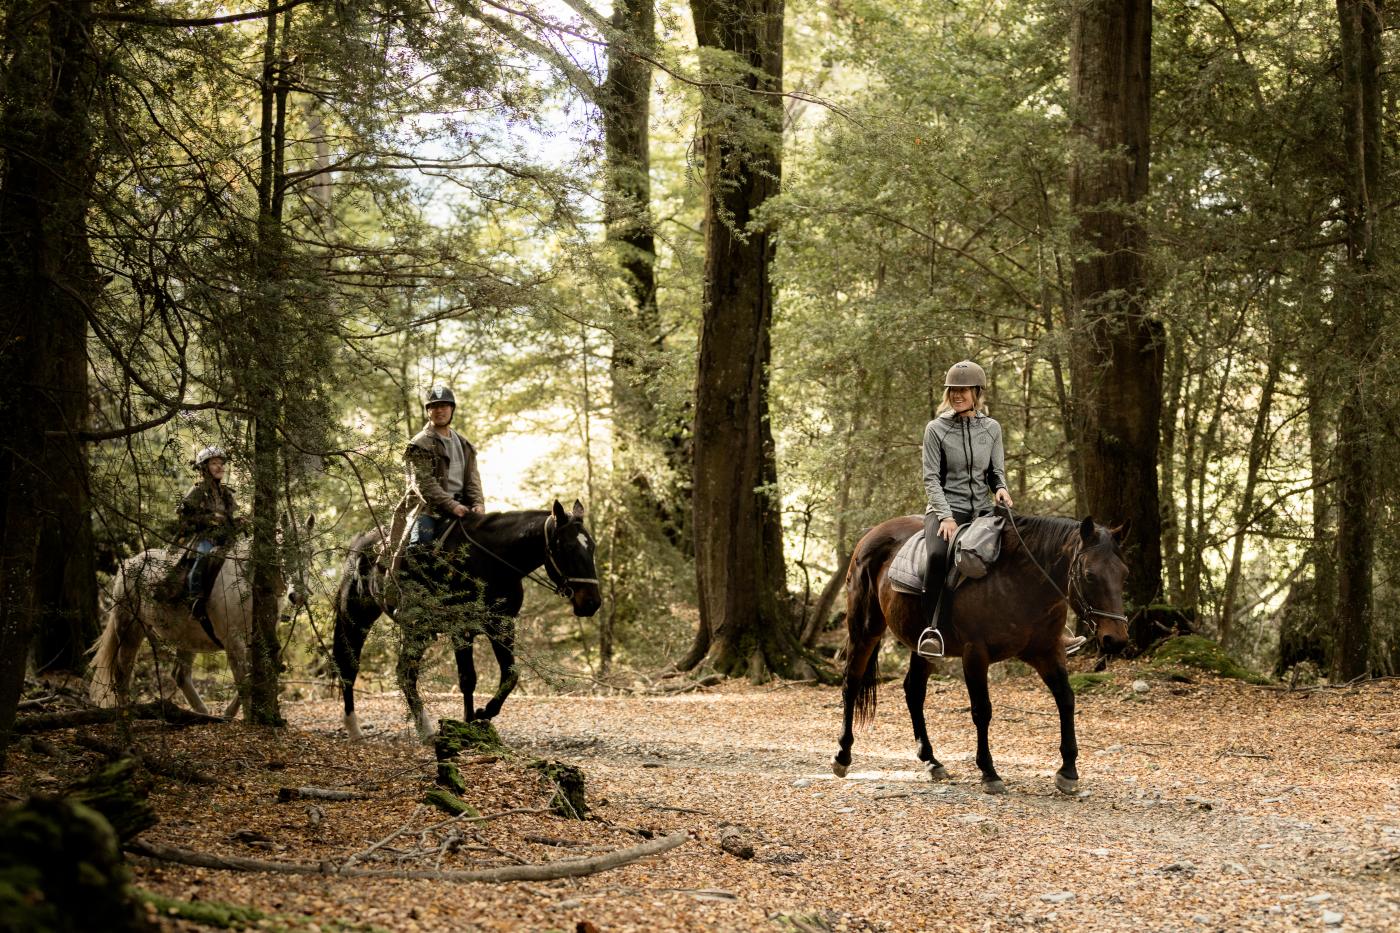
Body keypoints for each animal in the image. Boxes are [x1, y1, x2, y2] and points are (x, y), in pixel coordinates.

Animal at [91, 535, 306, 714]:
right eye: (283, 553)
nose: (297, 595)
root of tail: (128, 563)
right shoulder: (233, 641)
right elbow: (243, 679)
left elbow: (255, 674)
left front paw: (231, 714)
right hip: (130, 629)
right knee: (122, 671)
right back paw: (126, 711)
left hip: (186, 638)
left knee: (180, 675)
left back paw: (203, 713)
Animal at [337, 498, 602, 739]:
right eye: (567, 548)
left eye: (592, 547)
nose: (592, 603)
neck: (490, 560)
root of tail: (363, 543)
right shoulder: (460, 629)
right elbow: (468, 679)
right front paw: (470, 721)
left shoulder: (502, 626)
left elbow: (510, 675)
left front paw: (482, 714)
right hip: (357, 617)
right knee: (350, 667)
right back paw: (355, 729)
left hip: (417, 631)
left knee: (405, 673)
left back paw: (425, 730)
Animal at [834, 509, 1131, 790]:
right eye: (1089, 575)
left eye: (1123, 575)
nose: (1115, 639)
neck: (1021, 582)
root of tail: (872, 534)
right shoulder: (975, 654)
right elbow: (982, 710)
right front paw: (989, 772)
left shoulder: (1047, 652)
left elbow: (1066, 699)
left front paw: (1068, 771)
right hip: (865, 629)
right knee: (852, 681)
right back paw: (842, 756)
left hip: (923, 648)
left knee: (914, 690)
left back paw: (931, 760)